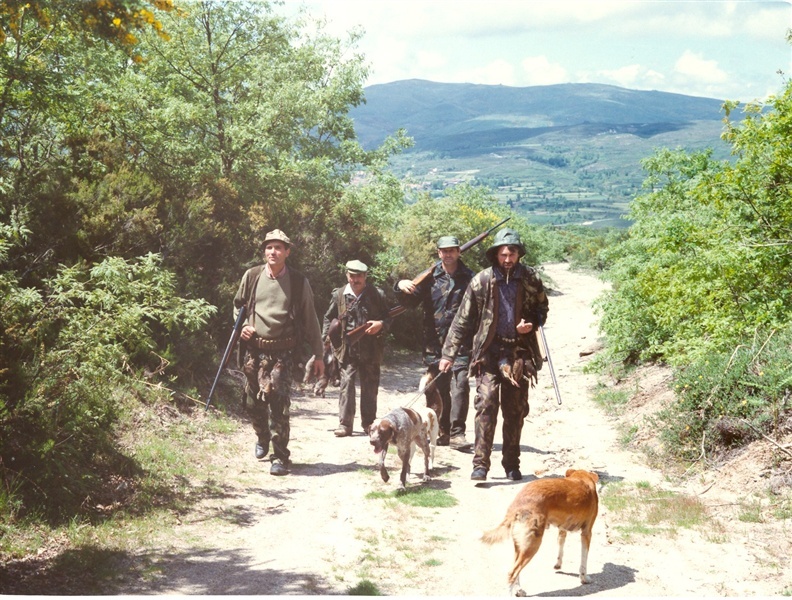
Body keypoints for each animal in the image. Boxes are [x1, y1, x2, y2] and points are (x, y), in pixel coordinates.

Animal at [480, 468, 596, 596]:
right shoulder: (587, 533)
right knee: (512, 573)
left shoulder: (562, 530)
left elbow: (560, 548)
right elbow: (584, 560)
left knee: (516, 571)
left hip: (520, 546)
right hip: (532, 544)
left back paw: (519, 590)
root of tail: (518, 502)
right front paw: (584, 578)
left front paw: (558, 564)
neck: (582, 478)